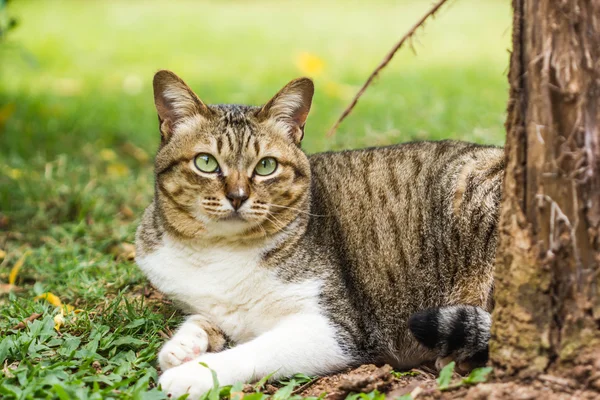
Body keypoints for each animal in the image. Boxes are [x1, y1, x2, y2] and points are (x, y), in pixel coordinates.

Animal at [135, 70, 502, 398]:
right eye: (206, 163)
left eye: (266, 166)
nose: (237, 197)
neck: (219, 251)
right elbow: (202, 319)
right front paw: (182, 346)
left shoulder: (337, 330)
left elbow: (257, 350)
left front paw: (191, 374)